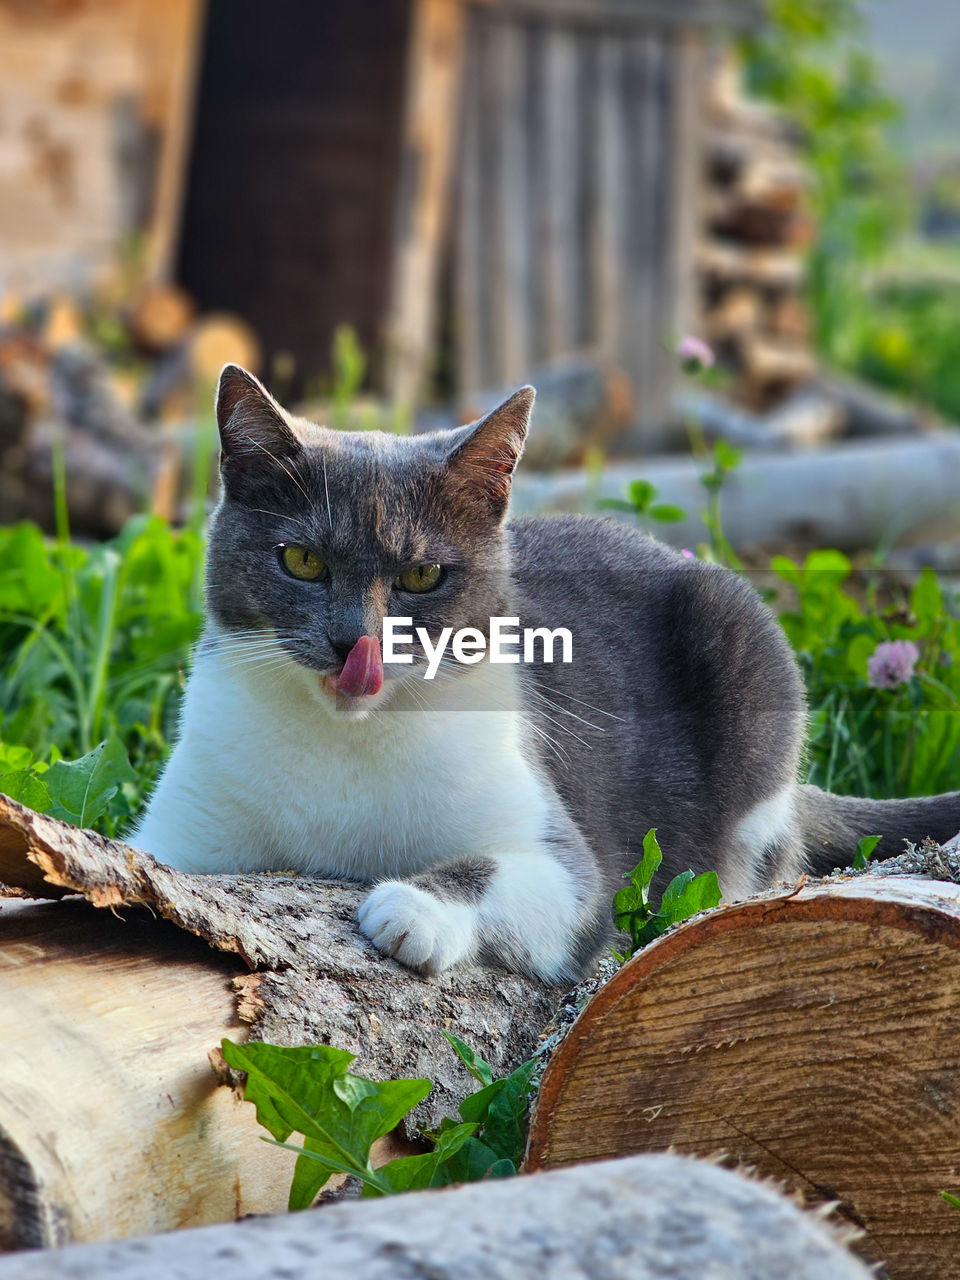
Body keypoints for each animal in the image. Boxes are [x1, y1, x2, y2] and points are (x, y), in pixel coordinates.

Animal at [133, 366, 960, 983]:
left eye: (423, 575)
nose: (353, 645)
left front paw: (412, 910)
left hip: (742, 638)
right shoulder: (181, 835)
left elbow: (525, 875)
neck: (345, 747)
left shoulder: (570, 867)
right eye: (302, 561)